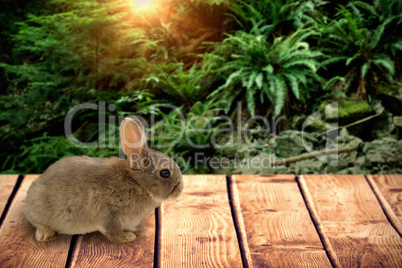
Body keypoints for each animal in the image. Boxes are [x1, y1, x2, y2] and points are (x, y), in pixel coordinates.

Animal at [23, 115, 184, 243]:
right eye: (165, 173)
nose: (180, 189)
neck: (137, 182)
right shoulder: (110, 215)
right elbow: (112, 232)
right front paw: (127, 237)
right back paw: (44, 235)